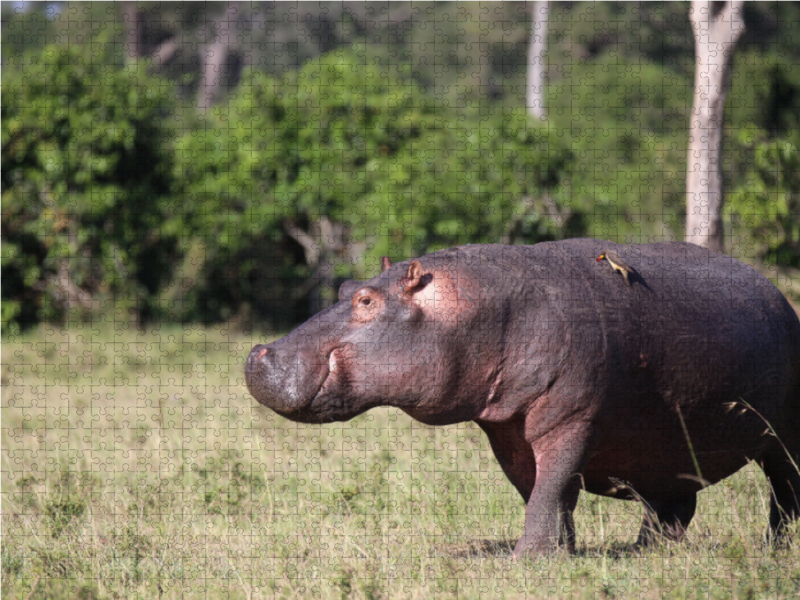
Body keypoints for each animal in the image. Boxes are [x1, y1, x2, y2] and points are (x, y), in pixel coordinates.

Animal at [244, 238, 800, 552]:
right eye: (343, 287)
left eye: (365, 300)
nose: (257, 353)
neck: (481, 307)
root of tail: (779, 295)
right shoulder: (506, 429)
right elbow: (542, 491)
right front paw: (562, 552)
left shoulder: (573, 419)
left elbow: (551, 485)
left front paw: (528, 558)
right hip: (664, 443)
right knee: (672, 505)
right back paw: (647, 551)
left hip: (782, 439)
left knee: (784, 490)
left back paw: (775, 549)